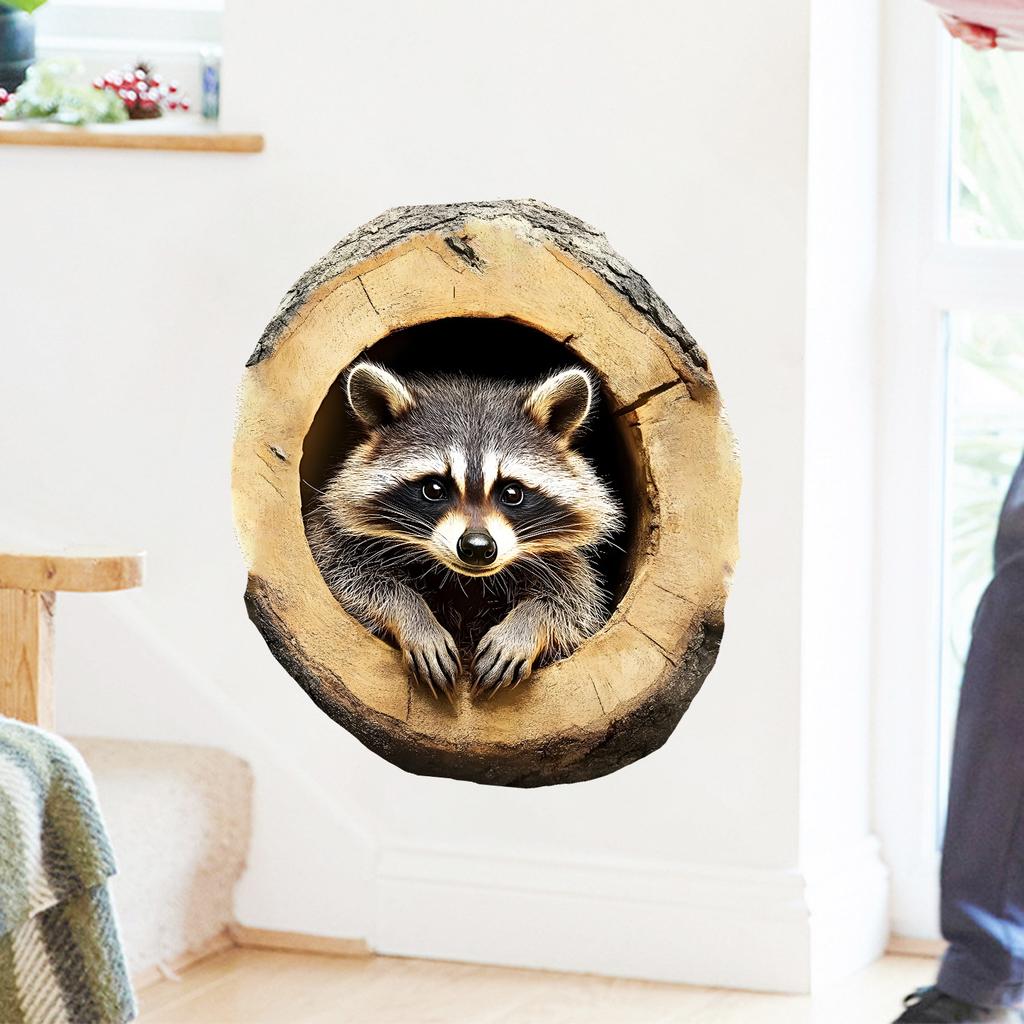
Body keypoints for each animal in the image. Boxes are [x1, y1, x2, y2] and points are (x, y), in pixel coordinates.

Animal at [306, 362, 623, 698]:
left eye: (512, 493)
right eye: (434, 489)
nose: (477, 547)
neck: (466, 580)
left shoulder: (565, 564)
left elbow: (573, 607)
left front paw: (525, 624)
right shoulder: (334, 541)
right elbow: (349, 579)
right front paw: (414, 616)